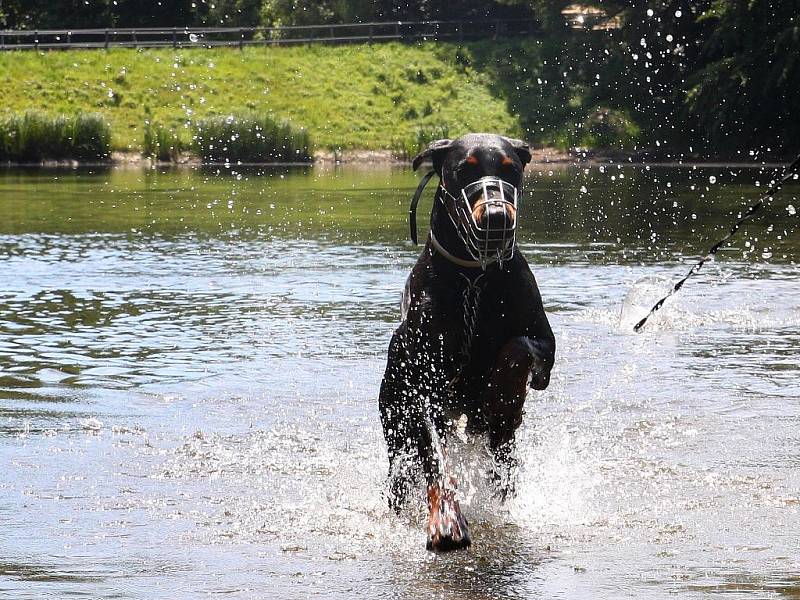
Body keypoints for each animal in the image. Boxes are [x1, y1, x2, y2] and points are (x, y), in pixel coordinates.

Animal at [378, 134, 552, 552]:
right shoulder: (421, 386)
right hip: (394, 427)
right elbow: (436, 462)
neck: (474, 279)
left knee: (503, 465)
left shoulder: (544, 342)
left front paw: (502, 395)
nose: (497, 217)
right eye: (463, 170)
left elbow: (518, 349)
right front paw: (446, 519)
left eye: (511, 169)